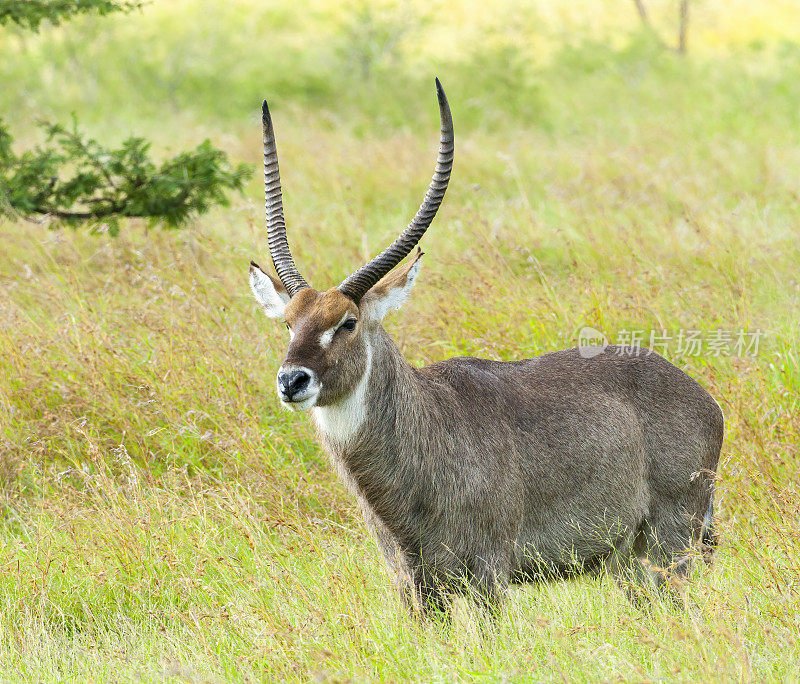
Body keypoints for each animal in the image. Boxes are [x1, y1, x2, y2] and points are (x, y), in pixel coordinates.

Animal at [247, 80, 720, 620]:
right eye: (289, 322)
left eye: (347, 322)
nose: (292, 380)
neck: (428, 425)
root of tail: (704, 397)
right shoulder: (412, 584)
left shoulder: (490, 573)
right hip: (631, 560)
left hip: (670, 543)